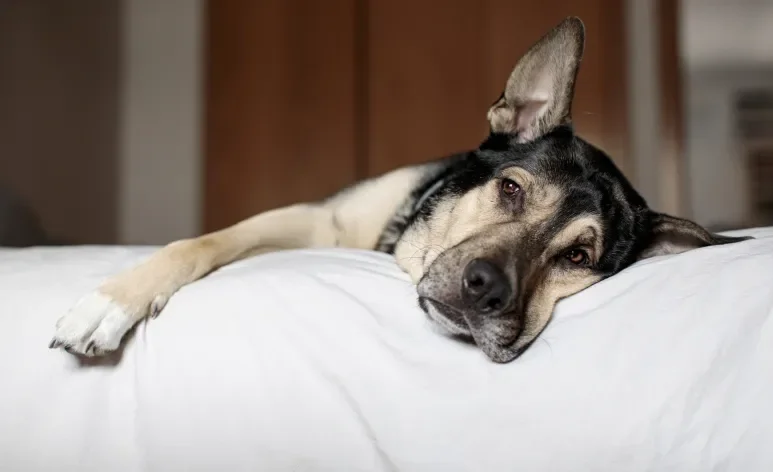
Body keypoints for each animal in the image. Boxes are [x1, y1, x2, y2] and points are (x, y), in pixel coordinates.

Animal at [48, 16, 748, 364]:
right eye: (511, 189)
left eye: (578, 256)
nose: (485, 291)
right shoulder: (316, 222)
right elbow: (201, 242)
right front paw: (110, 302)